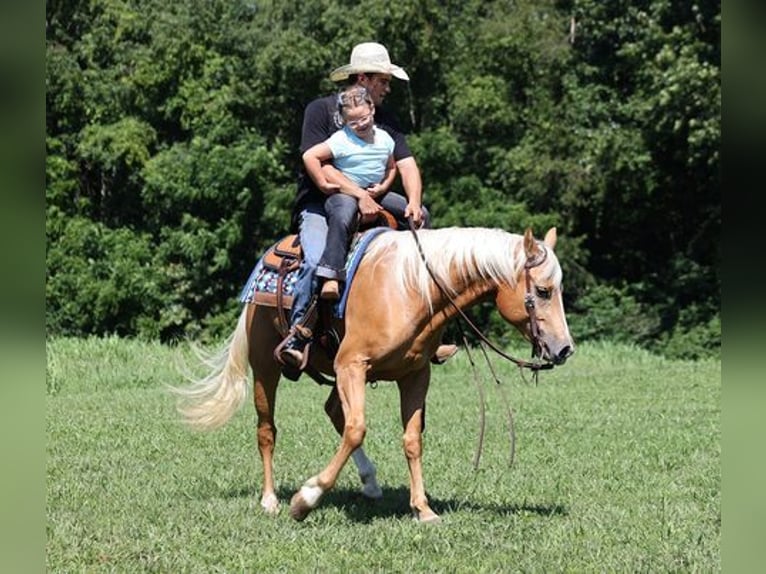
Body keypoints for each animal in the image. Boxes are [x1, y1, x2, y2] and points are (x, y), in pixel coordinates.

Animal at [171, 227, 572, 524]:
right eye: (542, 290)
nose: (565, 349)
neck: (410, 289)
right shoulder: (351, 364)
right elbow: (357, 428)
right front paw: (305, 500)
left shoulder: (415, 374)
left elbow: (410, 439)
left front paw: (423, 509)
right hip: (266, 368)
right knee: (267, 430)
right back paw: (270, 500)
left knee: (334, 411)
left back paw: (371, 483)